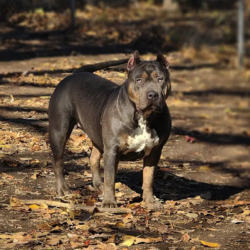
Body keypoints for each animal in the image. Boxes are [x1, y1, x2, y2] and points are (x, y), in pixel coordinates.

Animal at [47, 51, 171, 209]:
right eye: (138, 80)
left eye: (160, 79)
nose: (153, 94)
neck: (143, 116)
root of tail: (75, 74)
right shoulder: (112, 150)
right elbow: (110, 178)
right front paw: (109, 202)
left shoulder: (154, 152)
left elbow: (148, 179)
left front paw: (150, 201)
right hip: (59, 131)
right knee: (58, 161)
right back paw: (63, 189)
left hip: (96, 134)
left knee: (93, 158)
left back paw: (98, 184)